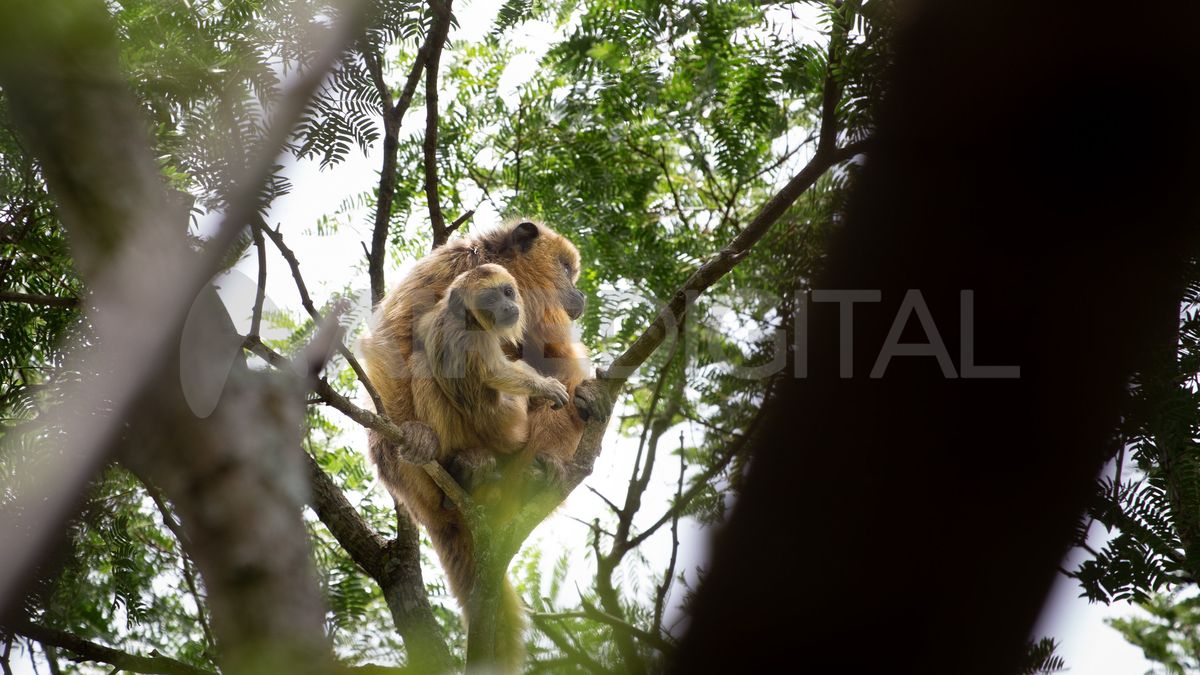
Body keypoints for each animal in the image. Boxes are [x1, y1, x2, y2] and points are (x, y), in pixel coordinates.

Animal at [360, 220, 612, 672]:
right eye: (566, 269)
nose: (579, 294)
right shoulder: (448, 266)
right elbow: (394, 340)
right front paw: (416, 434)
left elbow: (558, 360)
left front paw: (588, 396)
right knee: (428, 354)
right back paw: (462, 466)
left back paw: (544, 468)